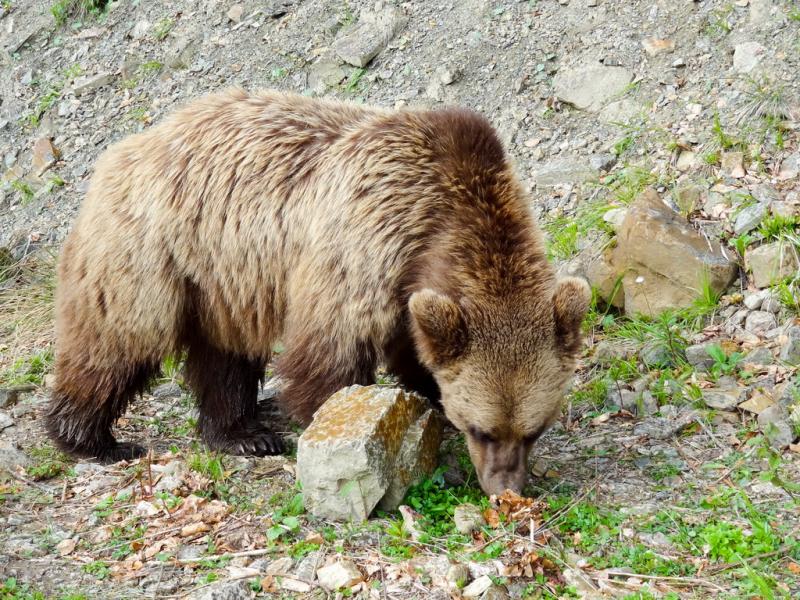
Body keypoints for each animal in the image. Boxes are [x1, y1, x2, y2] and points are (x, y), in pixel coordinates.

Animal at [47, 86, 592, 494]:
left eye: (534, 428)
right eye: (482, 428)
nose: (506, 489)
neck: (438, 224)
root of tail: (123, 151)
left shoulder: (408, 286)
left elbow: (415, 349)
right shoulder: (366, 241)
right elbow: (332, 353)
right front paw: (343, 430)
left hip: (223, 280)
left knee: (225, 353)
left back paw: (242, 434)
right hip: (151, 253)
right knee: (120, 339)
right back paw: (92, 439)